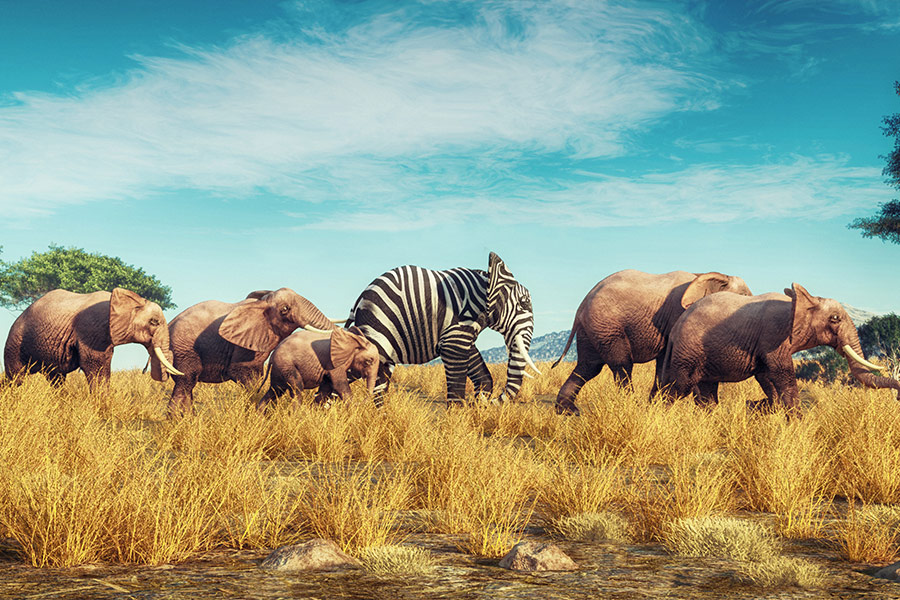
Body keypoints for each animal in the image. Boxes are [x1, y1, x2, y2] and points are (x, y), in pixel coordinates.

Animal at [3, 287, 180, 388]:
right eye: (154, 322)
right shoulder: (92, 328)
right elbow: (96, 368)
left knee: (56, 379)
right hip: (15, 340)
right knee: (15, 377)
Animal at [166, 288, 335, 415]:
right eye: (285, 310)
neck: (263, 303)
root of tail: (169, 324)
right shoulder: (243, 345)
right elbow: (242, 372)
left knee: (187, 384)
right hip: (183, 348)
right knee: (187, 380)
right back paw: (176, 422)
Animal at [346, 252, 542, 404]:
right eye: (524, 304)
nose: (488, 402)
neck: (484, 284)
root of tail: (358, 301)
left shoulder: (461, 331)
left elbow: (482, 374)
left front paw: (478, 404)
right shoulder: (457, 327)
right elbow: (456, 381)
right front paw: (457, 423)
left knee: (377, 381)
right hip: (377, 328)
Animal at [553, 270, 752, 415]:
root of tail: (582, 304)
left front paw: (656, 406)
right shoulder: (678, 316)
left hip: (593, 328)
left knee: (589, 366)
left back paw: (567, 411)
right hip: (606, 323)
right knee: (622, 364)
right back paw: (631, 407)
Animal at [659, 283, 900, 409]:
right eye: (835, 318)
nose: (898, 396)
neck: (800, 302)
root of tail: (676, 329)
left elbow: (768, 378)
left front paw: (774, 412)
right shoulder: (773, 337)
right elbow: (783, 377)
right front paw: (797, 423)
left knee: (706, 390)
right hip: (689, 352)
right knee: (679, 387)